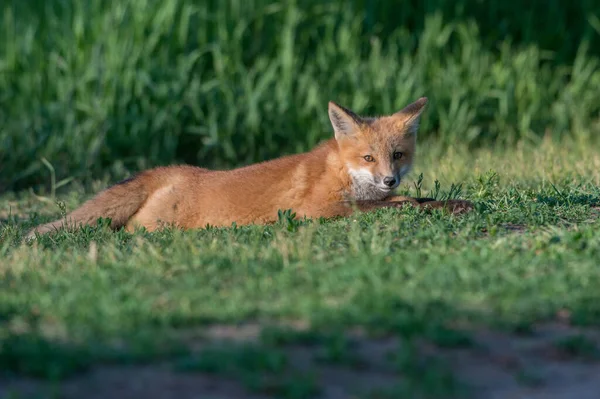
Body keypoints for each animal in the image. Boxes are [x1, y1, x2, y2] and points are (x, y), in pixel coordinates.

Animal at [25, 97, 472, 241]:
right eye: (368, 158)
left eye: (397, 155)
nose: (388, 178)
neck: (342, 172)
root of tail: (175, 169)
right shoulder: (316, 211)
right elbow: (401, 204)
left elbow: (421, 198)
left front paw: (456, 205)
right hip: (161, 225)